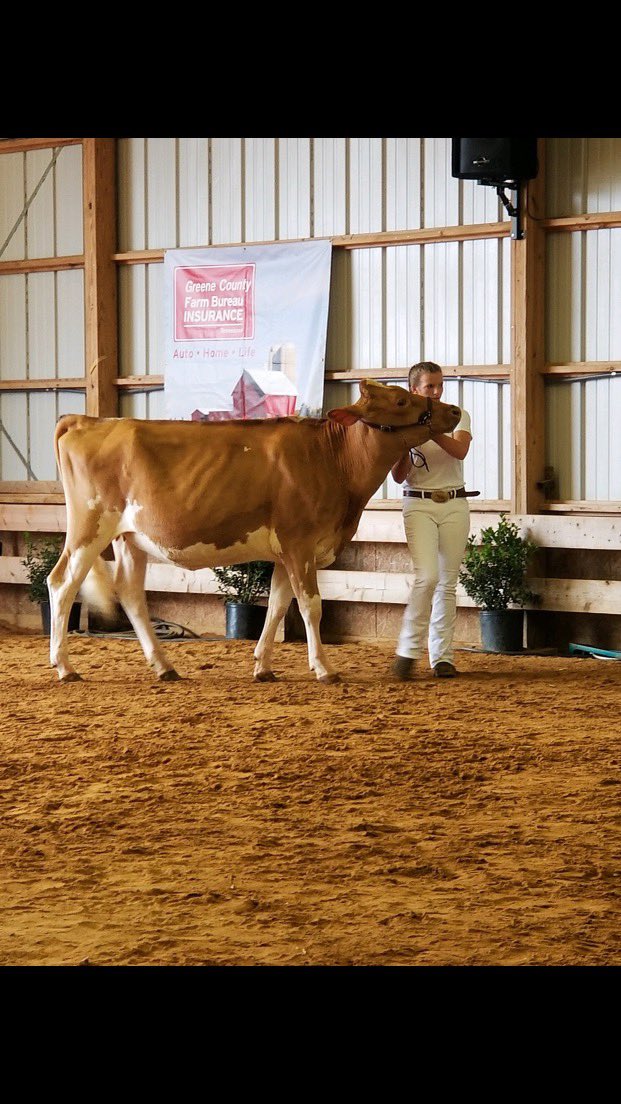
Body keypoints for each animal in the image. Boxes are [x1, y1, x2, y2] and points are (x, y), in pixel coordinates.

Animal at [48, 380, 461, 685]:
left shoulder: (286, 551)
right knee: (62, 583)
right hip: (89, 527)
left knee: (131, 594)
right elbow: (311, 605)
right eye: (402, 399)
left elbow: (277, 606)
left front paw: (263, 666)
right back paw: (65, 667)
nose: (455, 410)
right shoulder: (300, 543)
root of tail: (87, 420)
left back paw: (164, 667)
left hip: (130, 537)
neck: (333, 459)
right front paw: (324, 668)